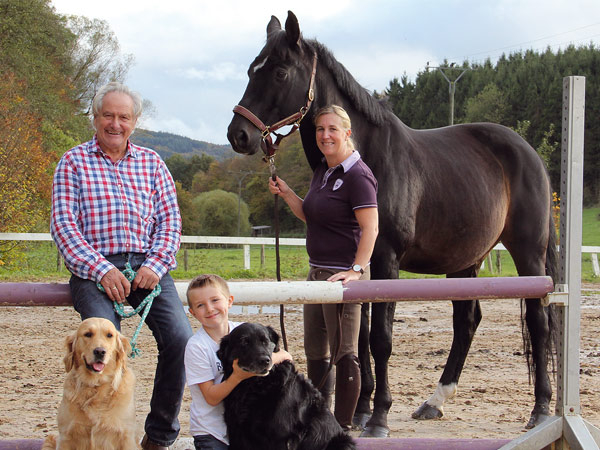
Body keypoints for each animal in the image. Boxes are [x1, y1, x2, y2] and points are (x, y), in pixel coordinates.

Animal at [217, 324, 354, 450]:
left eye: (265, 341)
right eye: (244, 342)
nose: (265, 360)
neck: (254, 385)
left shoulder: (281, 436)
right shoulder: (237, 432)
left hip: (343, 442)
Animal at [226, 11, 556, 440]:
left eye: (280, 73)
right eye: (252, 69)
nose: (239, 135)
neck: (367, 156)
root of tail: (528, 152)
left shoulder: (385, 260)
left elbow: (380, 339)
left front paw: (379, 416)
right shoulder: (359, 266)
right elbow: (361, 338)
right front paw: (361, 410)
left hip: (529, 254)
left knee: (538, 321)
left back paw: (541, 409)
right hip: (464, 261)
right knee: (466, 322)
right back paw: (435, 401)